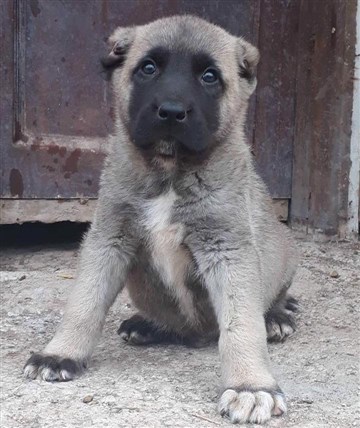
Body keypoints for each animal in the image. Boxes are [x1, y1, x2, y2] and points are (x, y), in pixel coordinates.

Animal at [23, 15, 298, 422]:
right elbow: (84, 301)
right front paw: (60, 353)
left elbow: (241, 324)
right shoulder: (109, 238)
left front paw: (250, 385)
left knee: (271, 299)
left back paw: (277, 316)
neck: (170, 171)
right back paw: (147, 324)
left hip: (285, 248)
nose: (170, 111)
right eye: (148, 68)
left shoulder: (228, 248)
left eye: (210, 77)